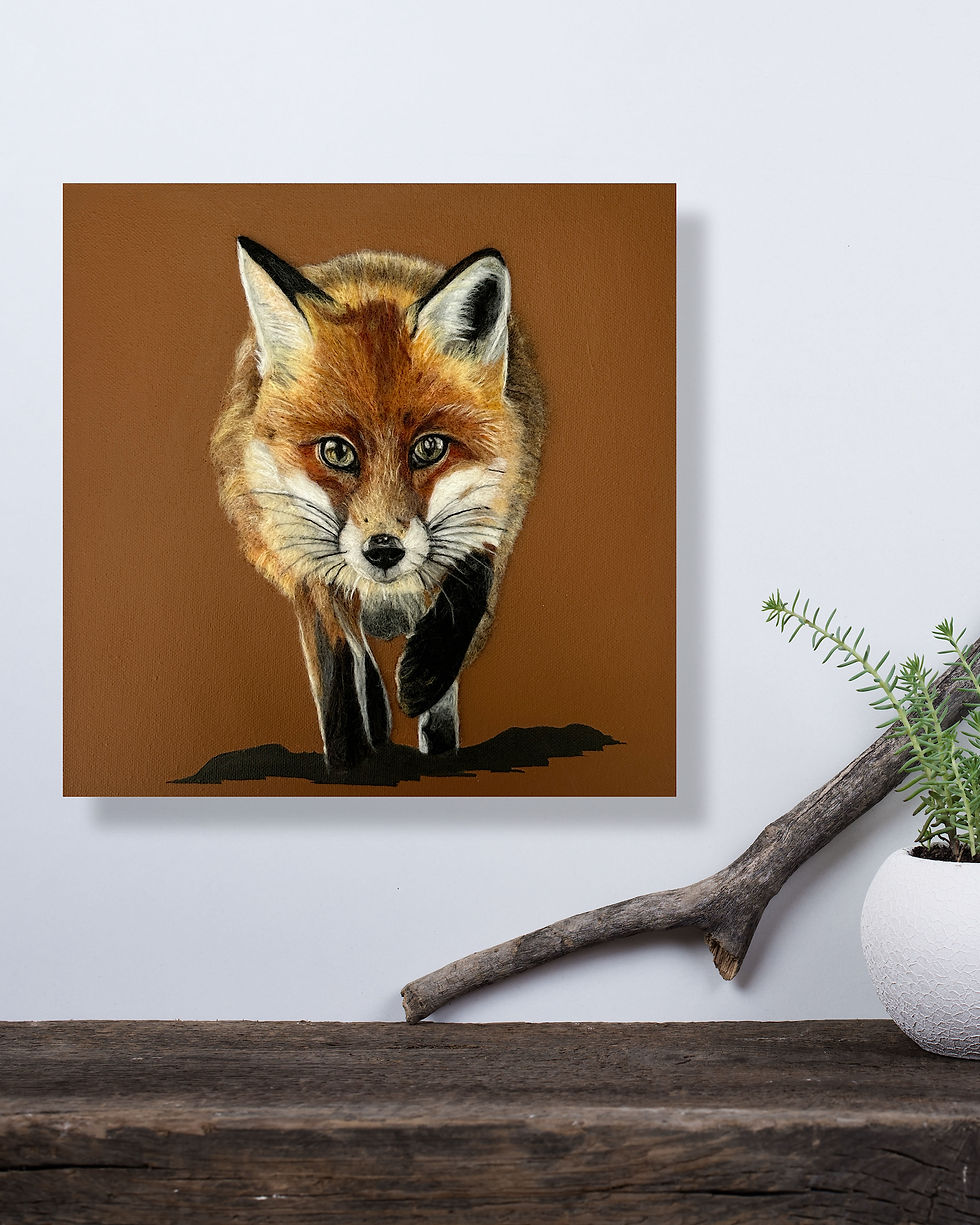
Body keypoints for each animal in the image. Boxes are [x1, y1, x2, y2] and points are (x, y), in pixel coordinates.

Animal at [211, 238, 547, 773]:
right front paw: (349, 760)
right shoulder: (308, 567)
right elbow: (338, 674)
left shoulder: (496, 517)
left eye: (429, 448)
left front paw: (425, 681)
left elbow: (469, 591)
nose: (384, 551)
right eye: (337, 451)